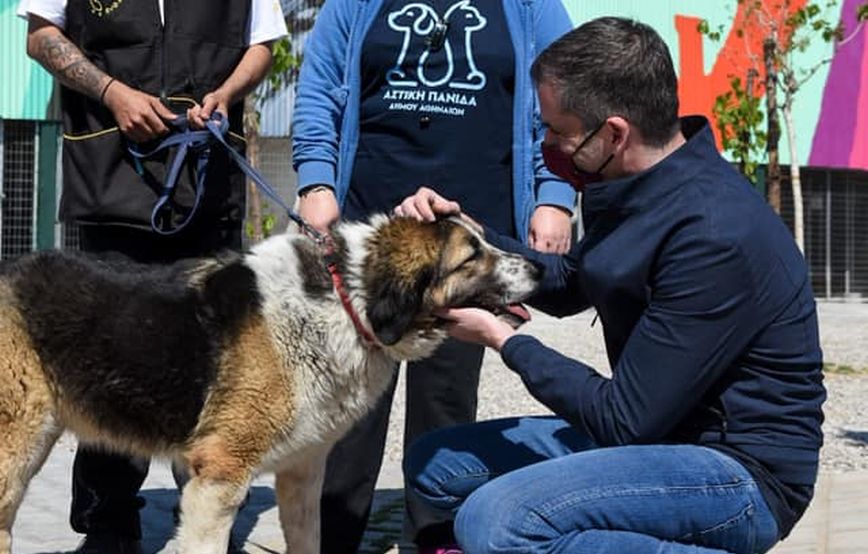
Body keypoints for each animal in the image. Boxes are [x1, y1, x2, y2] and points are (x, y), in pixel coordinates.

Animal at [0, 215, 540, 552]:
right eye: (471, 257)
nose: (538, 265)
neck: (346, 303)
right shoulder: (219, 477)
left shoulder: (304, 472)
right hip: (17, 447)